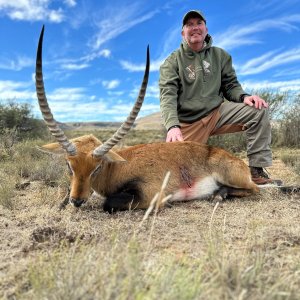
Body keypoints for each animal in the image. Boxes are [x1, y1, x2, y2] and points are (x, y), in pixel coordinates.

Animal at [35, 26, 258, 213]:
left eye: (96, 168)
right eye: (69, 165)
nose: (77, 201)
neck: (117, 167)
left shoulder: (149, 194)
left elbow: (108, 203)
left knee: (255, 189)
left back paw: (219, 195)